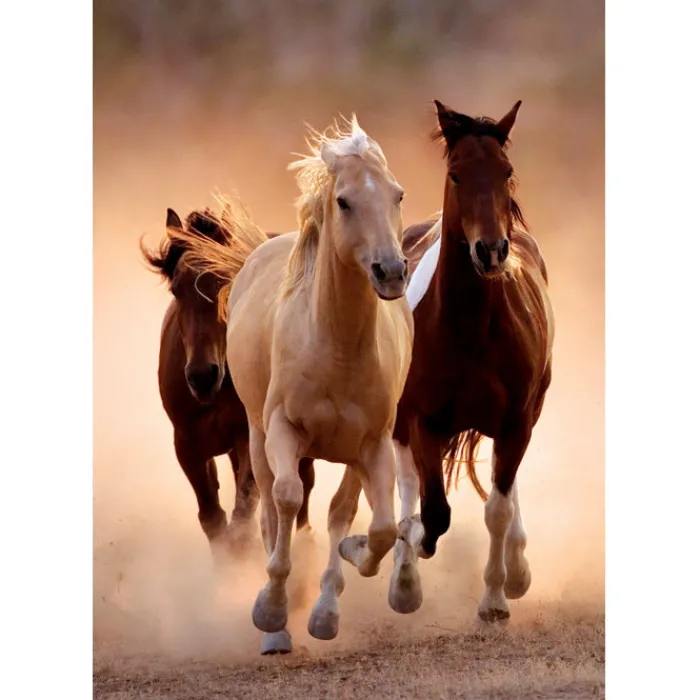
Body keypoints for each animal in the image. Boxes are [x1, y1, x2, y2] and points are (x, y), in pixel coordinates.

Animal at [140, 203, 317, 575]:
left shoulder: (247, 436)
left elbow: (242, 516)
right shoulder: (187, 444)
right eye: (176, 289)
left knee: (303, 487)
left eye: (226, 282)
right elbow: (213, 518)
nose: (202, 375)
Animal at [175, 116, 415, 653]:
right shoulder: (283, 430)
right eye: (344, 201)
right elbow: (285, 500)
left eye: (398, 194)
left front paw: (344, 572)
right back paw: (277, 627)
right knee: (269, 508)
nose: (391, 271)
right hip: (255, 436)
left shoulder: (373, 445)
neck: (337, 347)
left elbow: (376, 526)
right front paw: (271, 609)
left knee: (338, 511)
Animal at [389, 100, 555, 624]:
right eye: (456, 174)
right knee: (407, 482)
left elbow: (497, 507)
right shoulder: (422, 419)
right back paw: (403, 578)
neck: (472, 330)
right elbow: (433, 510)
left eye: (506, 171)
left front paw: (497, 598)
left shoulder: (516, 420)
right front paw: (412, 548)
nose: (491, 250)